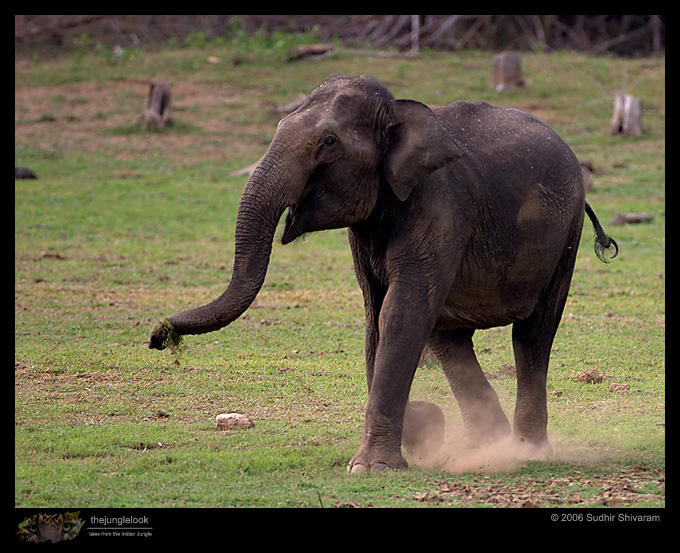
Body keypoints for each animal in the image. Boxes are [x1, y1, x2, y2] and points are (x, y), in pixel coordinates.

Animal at [149, 75, 616, 474]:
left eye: (329, 143)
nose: (157, 335)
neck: (398, 113)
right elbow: (377, 314)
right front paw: (418, 432)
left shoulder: (439, 209)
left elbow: (400, 312)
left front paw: (373, 467)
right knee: (450, 337)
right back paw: (484, 446)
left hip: (567, 235)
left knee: (532, 335)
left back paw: (524, 452)